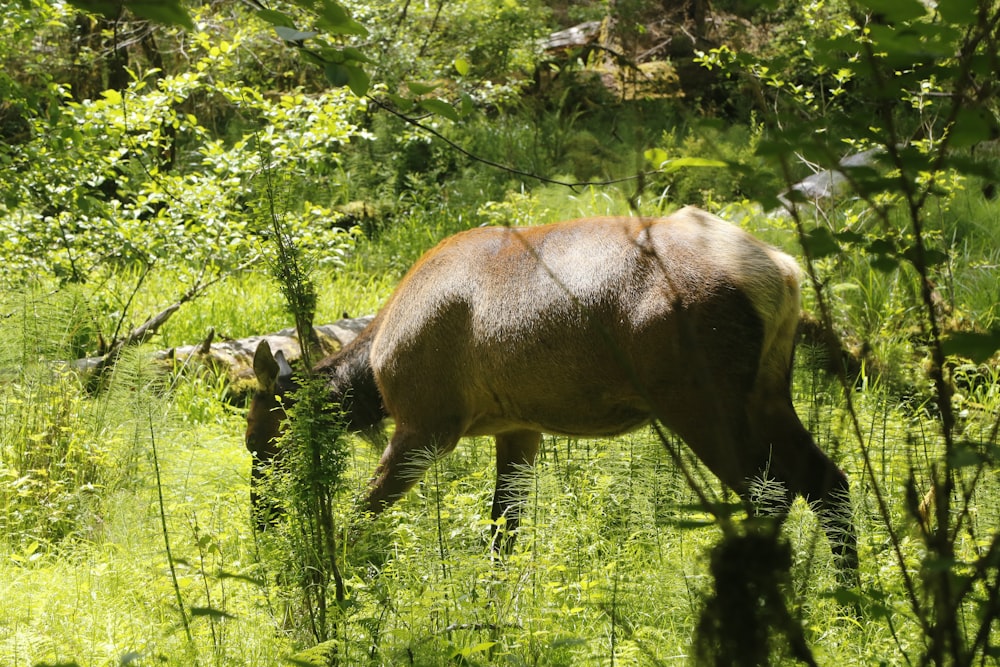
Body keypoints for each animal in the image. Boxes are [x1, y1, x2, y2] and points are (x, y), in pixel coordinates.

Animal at [246, 207, 856, 580]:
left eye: (260, 441)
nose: (261, 521)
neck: (374, 372)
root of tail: (783, 271)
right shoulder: (519, 426)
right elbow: (503, 531)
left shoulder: (428, 423)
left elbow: (361, 516)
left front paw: (328, 577)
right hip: (768, 389)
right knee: (826, 479)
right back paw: (847, 598)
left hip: (699, 399)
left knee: (771, 492)